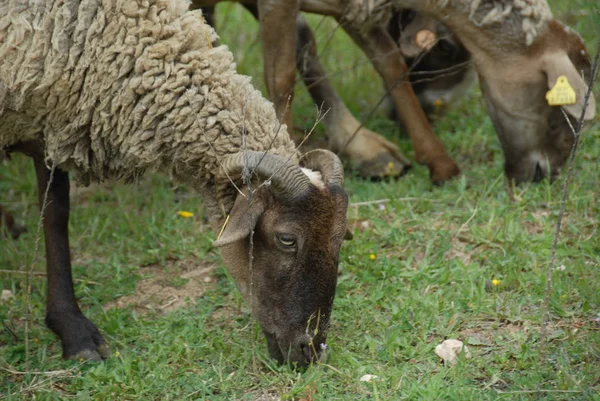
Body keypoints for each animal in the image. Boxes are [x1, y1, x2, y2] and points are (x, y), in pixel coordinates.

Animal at [1, 0, 352, 366]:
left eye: (340, 237)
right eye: (286, 239)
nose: (311, 349)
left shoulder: (50, 116)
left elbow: (55, 214)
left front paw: (70, 328)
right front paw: (76, 334)